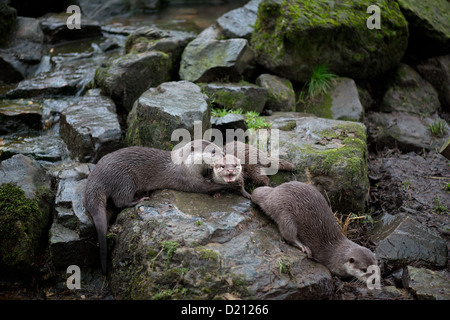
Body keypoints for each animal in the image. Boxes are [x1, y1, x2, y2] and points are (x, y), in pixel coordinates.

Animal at [82, 140, 241, 272]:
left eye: (219, 147)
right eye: (213, 151)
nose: (224, 154)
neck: (186, 165)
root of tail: (96, 177)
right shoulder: (188, 179)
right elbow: (204, 187)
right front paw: (229, 185)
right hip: (124, 178)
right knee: (121, 201)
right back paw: (140, 198)